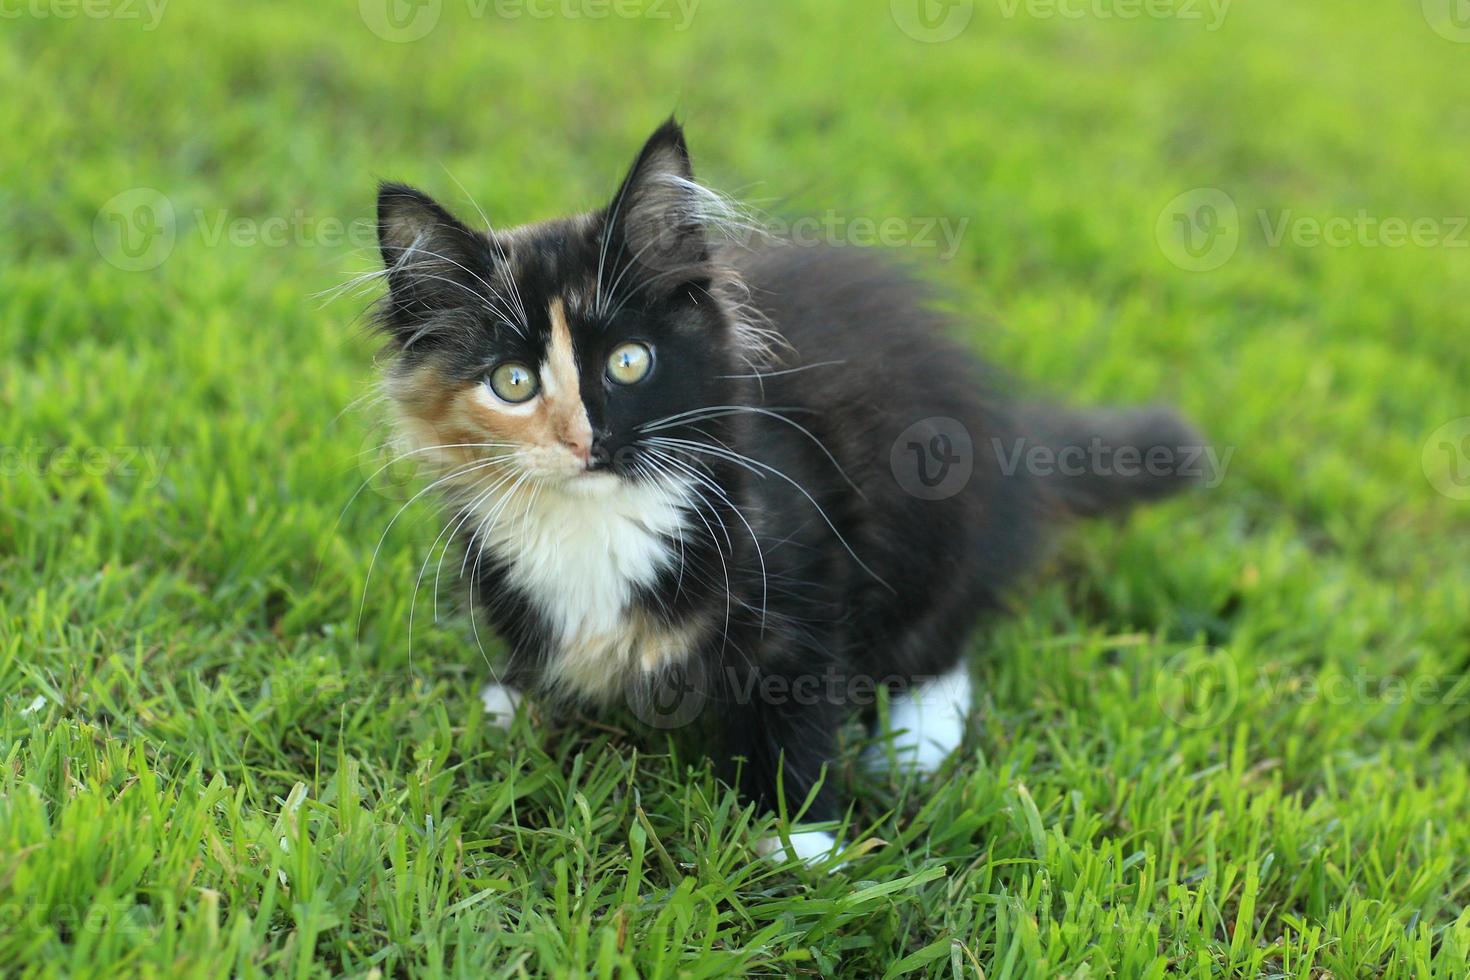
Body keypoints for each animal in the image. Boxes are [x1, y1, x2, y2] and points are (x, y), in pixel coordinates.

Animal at [370, 120, 1205, 863]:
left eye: (631, 362)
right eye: (512, 383)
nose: (587, 441)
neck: (598, 517)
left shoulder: (800, 557)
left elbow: (796, 698)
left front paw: (799, 839)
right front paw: (516, 700)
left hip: (935, 504)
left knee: (947, 624)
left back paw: (916, 733)